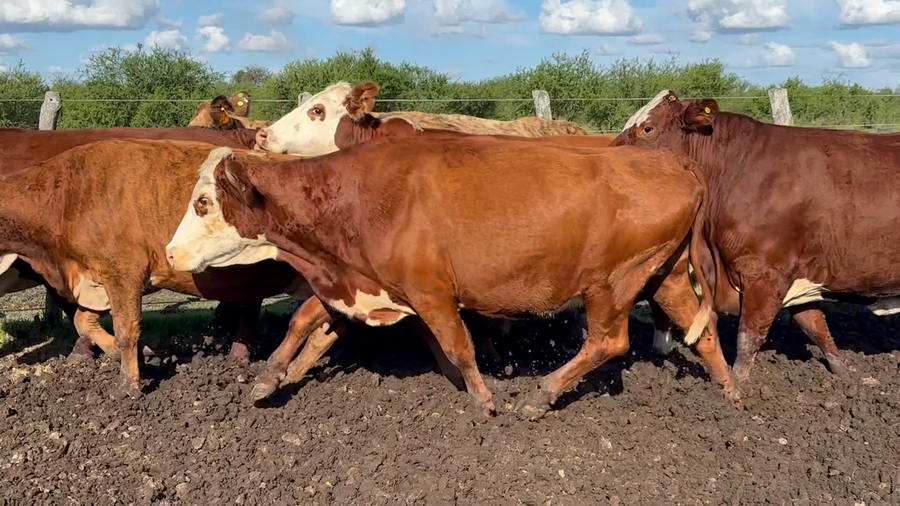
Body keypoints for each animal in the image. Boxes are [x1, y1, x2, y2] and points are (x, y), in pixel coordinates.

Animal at [164, 134, 738, 418]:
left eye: (203, 202)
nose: (170, 253)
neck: (358, 198)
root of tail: (673, 162)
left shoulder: (432, 291)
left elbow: (459, 346)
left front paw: (483, 400)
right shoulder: (356, 284)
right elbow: (303, 321)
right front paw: (268, 378)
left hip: (613, 283)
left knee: (609, 342)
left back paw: (541, 395)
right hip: (665, 275)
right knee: (704, 330)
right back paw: (731, 393)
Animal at [611, 89, 900, 384]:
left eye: (647, 128)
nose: (609, 160)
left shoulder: (764, 273)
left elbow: (748, 338)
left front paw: (737, 384)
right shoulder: (799, 273)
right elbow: (816, 326)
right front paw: (843, 373)